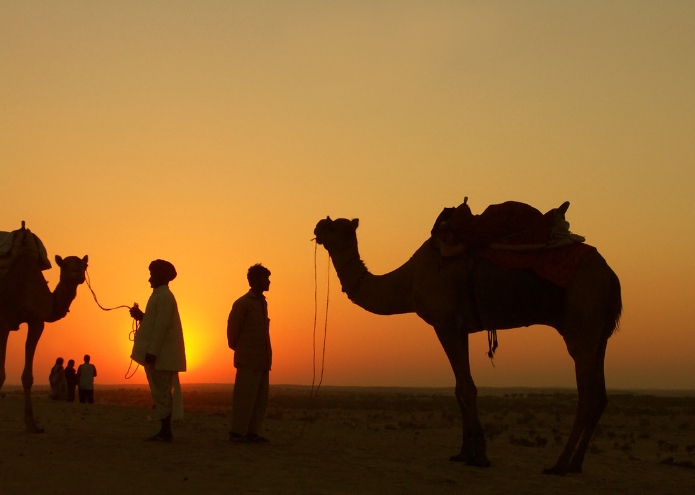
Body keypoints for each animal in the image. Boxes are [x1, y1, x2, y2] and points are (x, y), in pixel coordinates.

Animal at [0, 223, 88, 432]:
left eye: (84, 266)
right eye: (64, 265)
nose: (78, 273)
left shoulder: (36, 322)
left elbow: (27, 377)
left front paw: (32, 423)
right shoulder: (4, 320)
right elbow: (1, 373)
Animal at [312, 214, 624, 476]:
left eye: (334, 227)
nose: (317, 226)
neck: (409, 282)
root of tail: (611, 274)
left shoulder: (445, 322)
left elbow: (467, 387)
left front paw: (480, 456)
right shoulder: (460, 326)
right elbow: (459, 387)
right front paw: (463, 453)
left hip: (582, 322)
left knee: (587, 394)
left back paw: (560, 464)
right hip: (600, 332)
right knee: (600, 394)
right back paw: (575, 464)